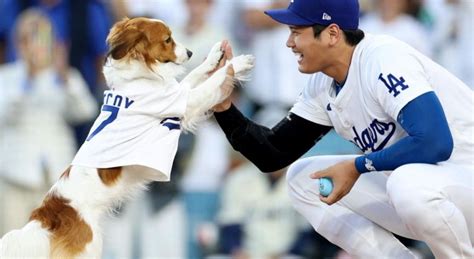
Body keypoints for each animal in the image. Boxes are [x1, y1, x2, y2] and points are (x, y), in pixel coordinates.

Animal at [0, 17, 256, 258]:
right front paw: (237, 63)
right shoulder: (184, 102)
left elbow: (194, 75)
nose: (190, 52)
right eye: (167, 40)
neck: (136, 78)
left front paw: (215, 56)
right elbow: (213, 80)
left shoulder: (176, 93)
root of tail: (46, 217)